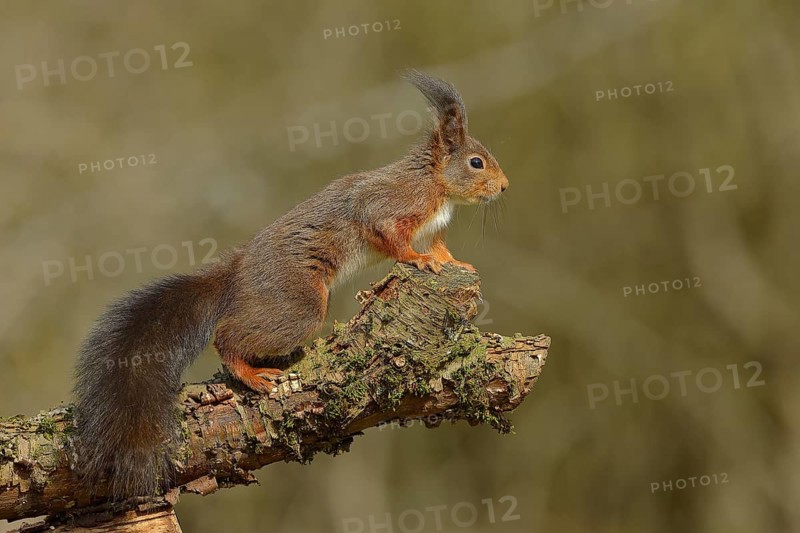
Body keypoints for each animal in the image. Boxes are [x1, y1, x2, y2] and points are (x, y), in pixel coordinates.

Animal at [73, 70, 509, 499]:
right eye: (476, 162)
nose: (505, 187)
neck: (437, 186)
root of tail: (238, 272)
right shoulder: (388, 206)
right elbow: (390, 238)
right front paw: (417, 260)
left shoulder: (431, 228)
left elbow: (440, 251)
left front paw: (450, 262)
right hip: (297, 306)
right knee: (227, 336)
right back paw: (250, 373)